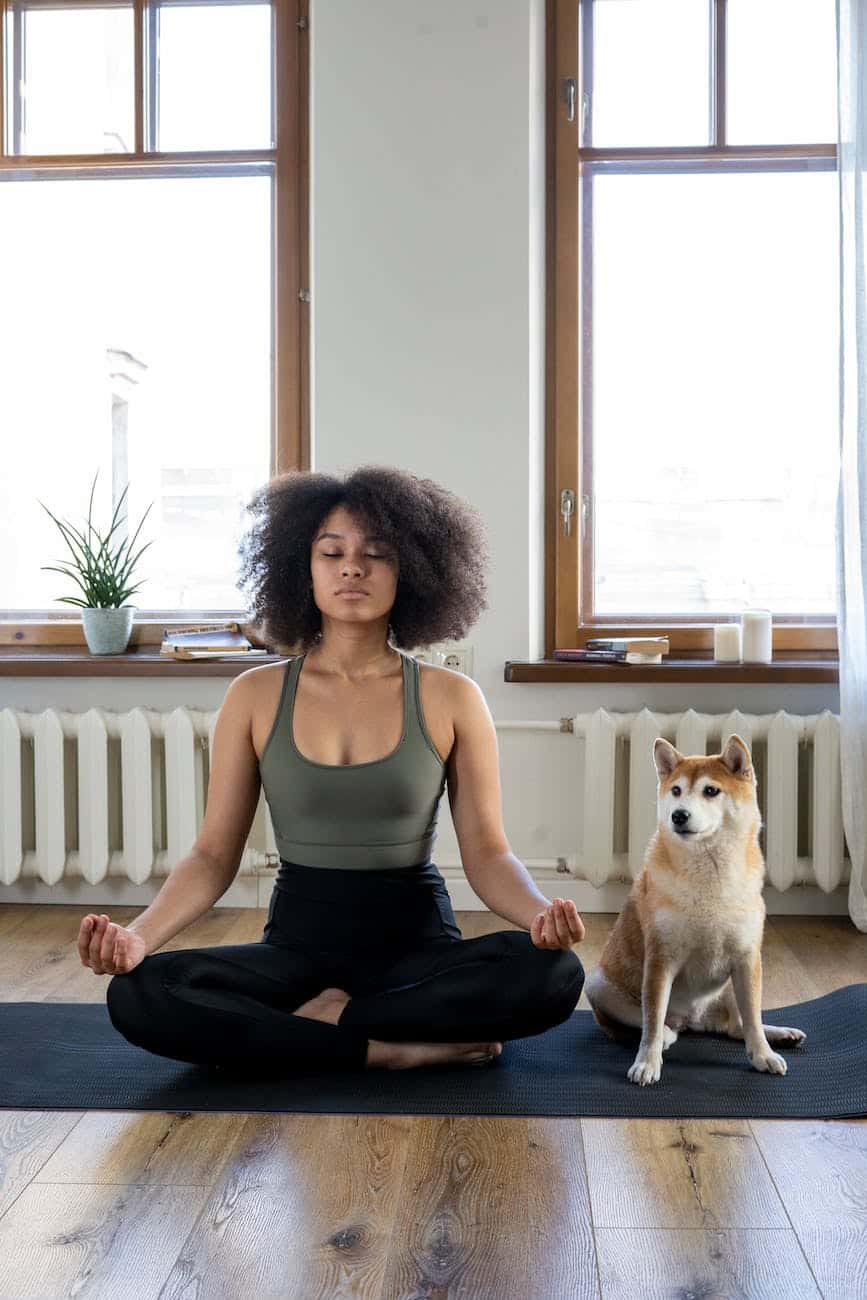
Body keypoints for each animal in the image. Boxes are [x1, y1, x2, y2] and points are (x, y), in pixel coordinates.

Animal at [582, 733, 805, 1086]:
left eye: (711, 791)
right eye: (676, 791)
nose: (679, 815)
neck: (709, 875)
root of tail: (693, 1020)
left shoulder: (747, 958)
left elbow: (753, 1020)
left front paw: (764, 1054)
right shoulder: (660, 960)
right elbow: (651, 1021)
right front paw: (647, 1063)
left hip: (730, 988)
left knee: (737, 1026)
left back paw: (779, 1034)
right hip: (598, 983)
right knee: (652, 1024)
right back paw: (668, 1036)